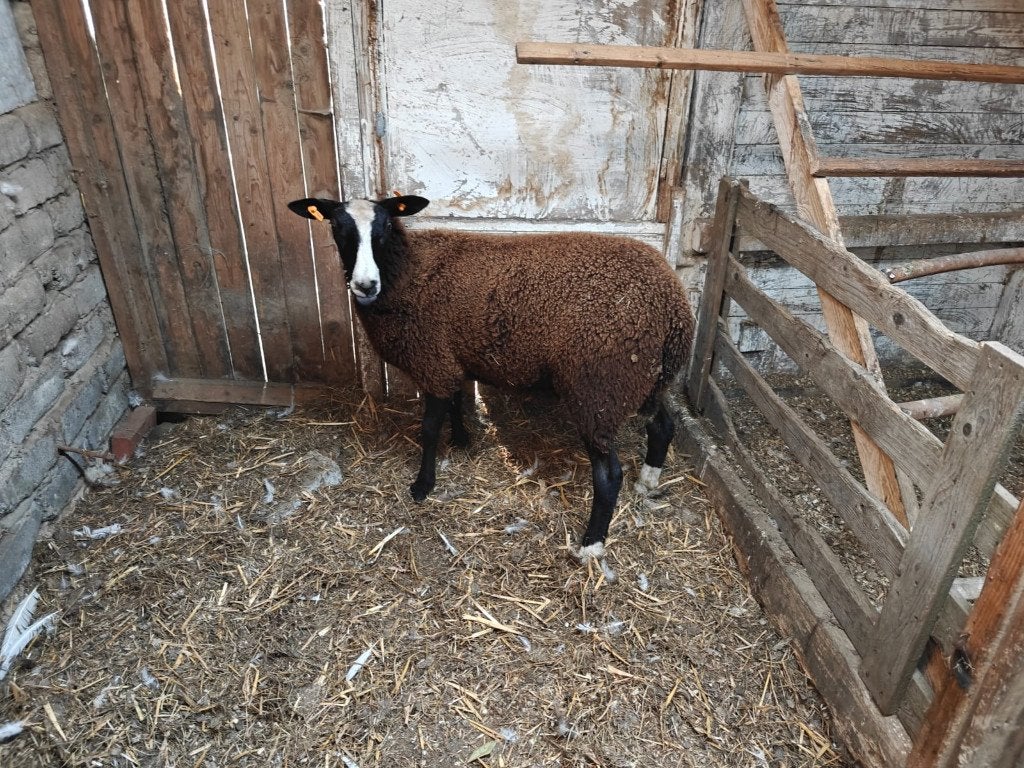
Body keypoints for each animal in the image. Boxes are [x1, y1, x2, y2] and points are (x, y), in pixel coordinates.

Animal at [288, 194, 694, 560]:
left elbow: (429, 428)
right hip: (646, 380)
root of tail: (675, 304)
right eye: (336, 226)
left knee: (609, 475)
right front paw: (462, 440)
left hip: (599, 388)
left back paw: (591, 544)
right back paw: (648, 481)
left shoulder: (432, 359)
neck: (407, 270)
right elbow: (455, 401)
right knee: (663, 425)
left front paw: (423, 485)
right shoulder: (449, 358)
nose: (365, 285)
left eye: (385, 226)